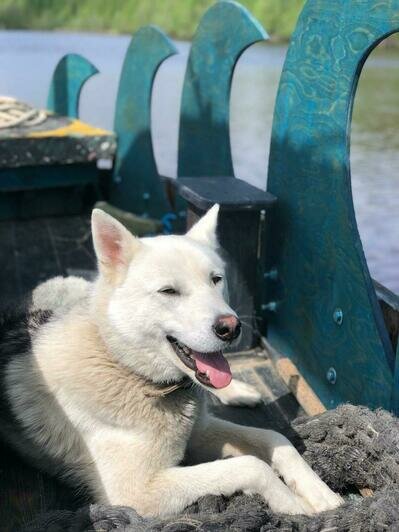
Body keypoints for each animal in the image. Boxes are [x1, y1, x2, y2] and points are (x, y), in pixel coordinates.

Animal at [0, 206, 344, 516]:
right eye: (168, 291)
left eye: (216, 280)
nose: (231, 327)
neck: (125, 367)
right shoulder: (135, 494)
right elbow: (250, 465)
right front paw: (294, 506)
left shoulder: (200, 430)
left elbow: (277, 440)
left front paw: (321, 494)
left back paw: (239, 391)